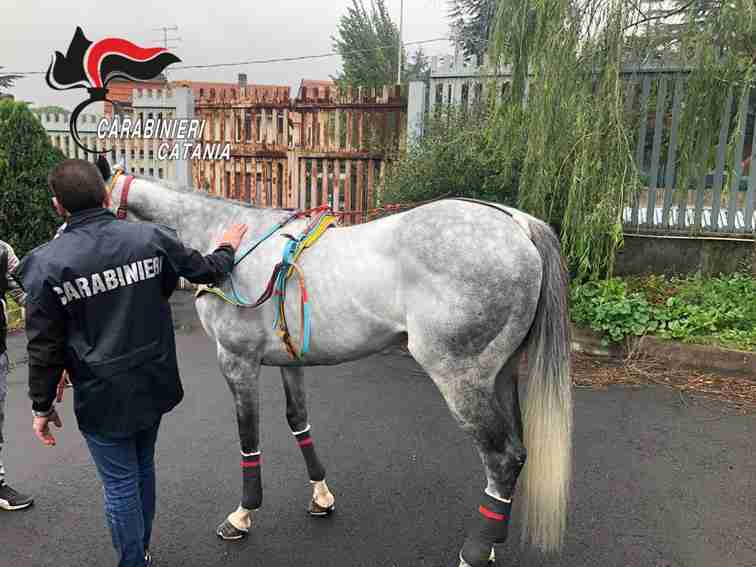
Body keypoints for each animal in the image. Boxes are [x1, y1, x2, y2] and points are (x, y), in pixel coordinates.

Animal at [106, 173, 573, 567]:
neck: (230, 243)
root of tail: (518, 224)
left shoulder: (237, 362)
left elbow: (248, 436)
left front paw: (242, 514)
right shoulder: (289, 362)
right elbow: (298, 421)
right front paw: (321, 495)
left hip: (461, 379)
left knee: (502, 457)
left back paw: (473, 552)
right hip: (502, 376)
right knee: (516, 453)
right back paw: (491, 541)